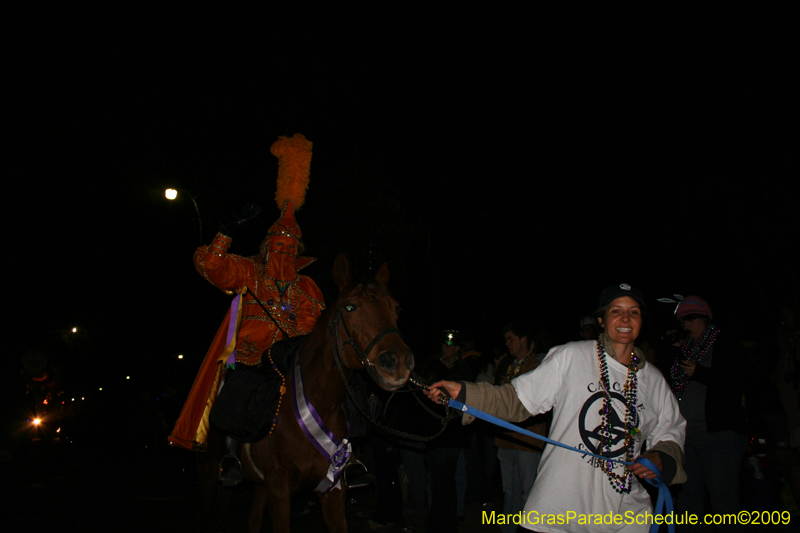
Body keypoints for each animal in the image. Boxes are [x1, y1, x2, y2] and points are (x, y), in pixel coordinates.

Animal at [198, 254, 416, 532]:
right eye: (350, 307)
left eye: (396, 309)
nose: (397, 362)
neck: (319, 401)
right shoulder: (279, 490)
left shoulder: (332, 488)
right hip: (208, 472)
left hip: (256, 485)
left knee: (252, 520)